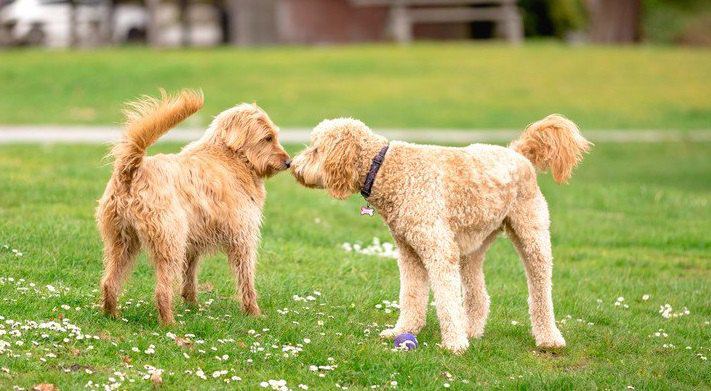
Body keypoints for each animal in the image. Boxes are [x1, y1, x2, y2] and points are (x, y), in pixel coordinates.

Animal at [97, 90, 292, 326]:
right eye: (267, 138)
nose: (289, 162)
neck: (231, 157)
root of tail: (132, 170)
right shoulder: (243, 238)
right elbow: (246, 280)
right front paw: (253, 312)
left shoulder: (193, 245)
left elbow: (189, 278)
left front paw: (192, 306)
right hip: (170, 242)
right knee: (161, 291)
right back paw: (169, 323)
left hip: (121, 242)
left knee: (109, 282)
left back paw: (112, 316)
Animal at [292, 115, 592, 354]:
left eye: (317, 149)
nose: (293, 166)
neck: (385, 168)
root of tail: (518, 153)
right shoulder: (410, 252)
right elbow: (411, 295)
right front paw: (403, 330)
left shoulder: (438, 249)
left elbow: (446, 300)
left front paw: (454, 345)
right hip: (473, 246)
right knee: (479, 295)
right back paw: (471, 330)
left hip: (531, 234)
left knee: (541, 290)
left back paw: (549, 338)